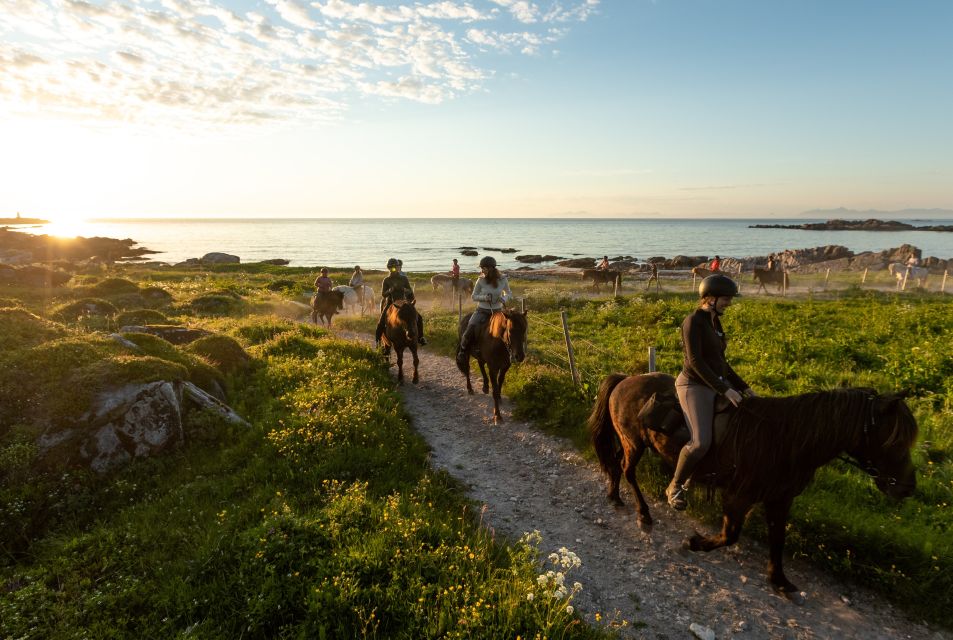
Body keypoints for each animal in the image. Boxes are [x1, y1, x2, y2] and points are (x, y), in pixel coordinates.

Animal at [588, 372, 916, 596]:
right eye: (894, 441)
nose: (907, 488)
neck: (784, 440)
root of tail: (625, 379)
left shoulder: (780, 499)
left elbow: (777, 538)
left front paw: (780, 580)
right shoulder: (738, 495)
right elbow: (729, 535)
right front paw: (695, 542)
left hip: (631, 442)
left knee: (616, 463)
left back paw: (614, 496)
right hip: (634, 441)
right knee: (628, 471)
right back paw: (643, 514)